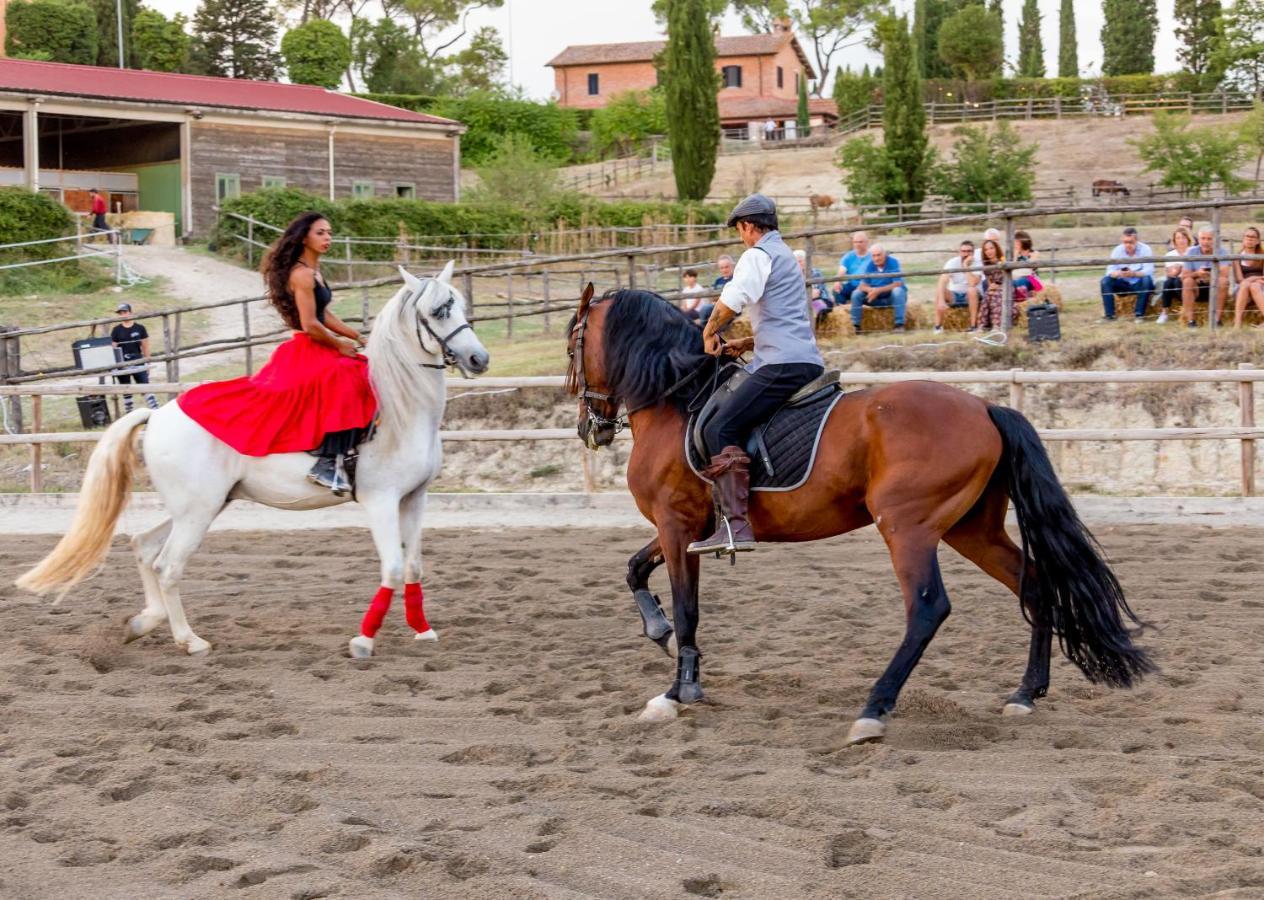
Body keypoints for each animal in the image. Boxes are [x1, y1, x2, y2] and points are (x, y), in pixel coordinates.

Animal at [17, 260, 487, 662]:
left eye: (460, 305)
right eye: (439, 310)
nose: (479, 359)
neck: (398, 409)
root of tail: (158, 414)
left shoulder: (414, 499)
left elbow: (414, 566)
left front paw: (423, 630)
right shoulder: (381, 502)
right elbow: (391, 567)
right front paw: (363, 641)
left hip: (202, 506)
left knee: (144, 547)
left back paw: (144, 622)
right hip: (198, 512)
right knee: (168, 565)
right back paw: (190, 641)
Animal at [568, 288, 1152, 743]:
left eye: (574, 342)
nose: (589, 427)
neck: (676, 401)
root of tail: (985, 407)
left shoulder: (676, 526)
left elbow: (687, 607)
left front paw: (677, 689)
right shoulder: (686, 529)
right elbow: (634, 570)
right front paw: (659, 631)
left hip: (907, 527)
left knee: (928, 609)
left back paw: (873, 710)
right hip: (972, 531)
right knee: (1034, 587)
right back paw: (1025, 694)